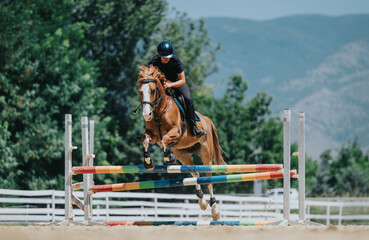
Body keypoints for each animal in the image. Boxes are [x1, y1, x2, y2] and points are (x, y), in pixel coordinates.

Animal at [137, 64, 226, 220]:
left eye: (153, 90)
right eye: (140, 91)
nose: (146, 115)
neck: (159, 111)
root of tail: (207, 120)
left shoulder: (176, 132)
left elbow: (165, 139)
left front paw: (168, 157)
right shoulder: (153, 136)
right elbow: (145, 139)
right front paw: (148, 162)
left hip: (205, 153)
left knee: (208, 178)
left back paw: (214, 210)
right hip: (183, 155)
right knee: (195, 173)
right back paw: (201, 201)